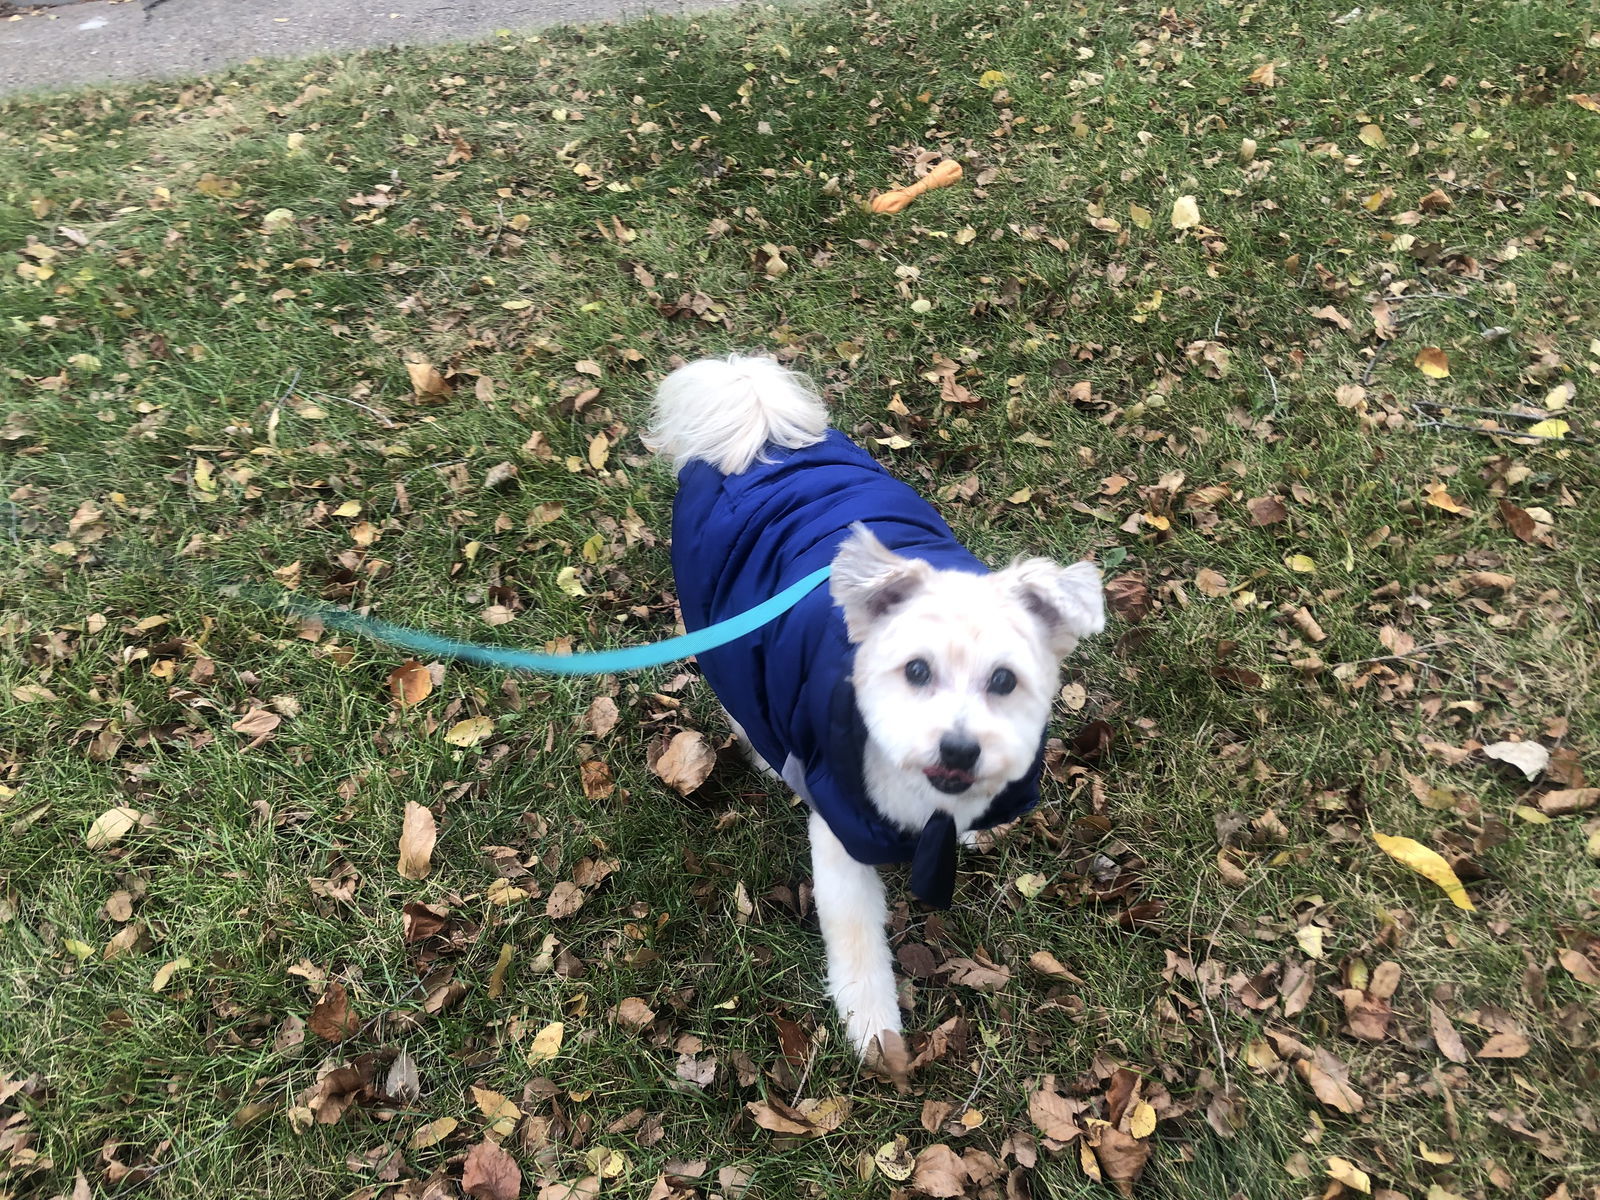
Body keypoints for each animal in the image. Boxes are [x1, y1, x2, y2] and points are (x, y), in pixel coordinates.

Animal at [643, 355, 1107, 1062]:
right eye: (916, 670)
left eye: (1004, 681)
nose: (960, 749)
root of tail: (757, 420)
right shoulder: (841, 841)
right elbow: (857, 942)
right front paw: (874, 1029)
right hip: (721, 633)